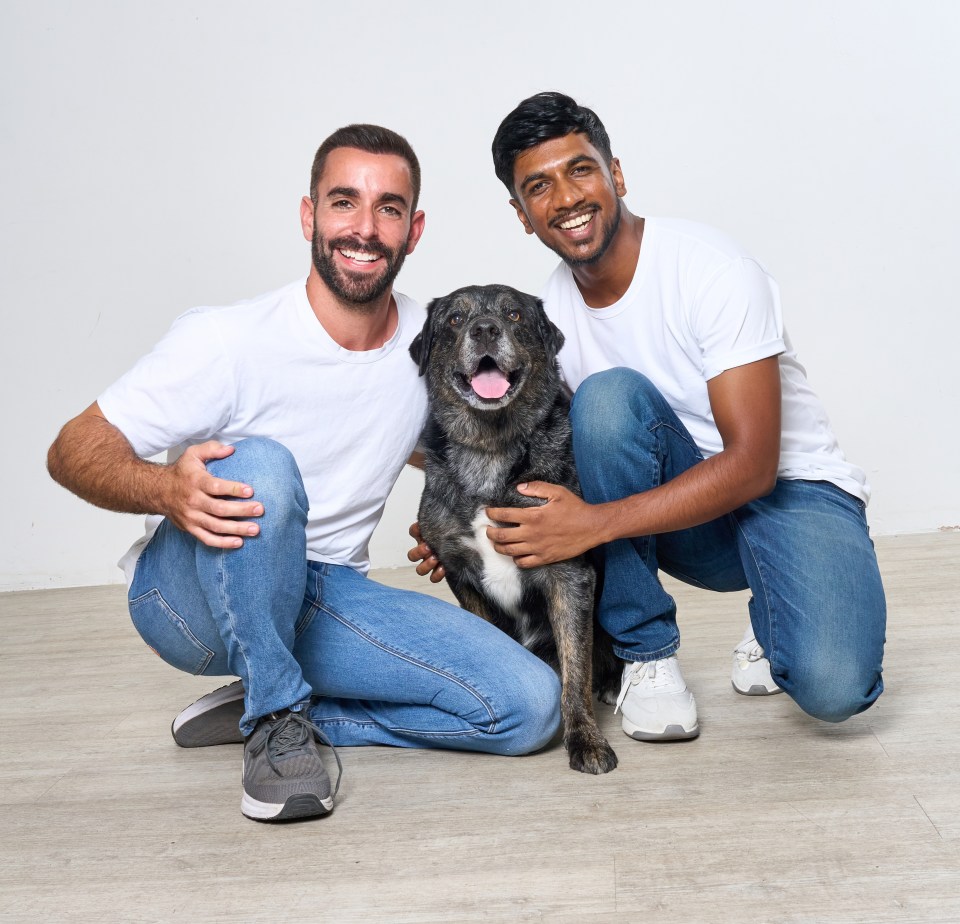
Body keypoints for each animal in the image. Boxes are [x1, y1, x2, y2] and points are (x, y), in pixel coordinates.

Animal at [408, 286, 620, 776]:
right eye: (455, 319)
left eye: (514, 314)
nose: (485, 329)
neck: (490, 451)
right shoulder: (461, 572)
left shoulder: (569, 575)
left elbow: (575, 670)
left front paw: (585, 739)